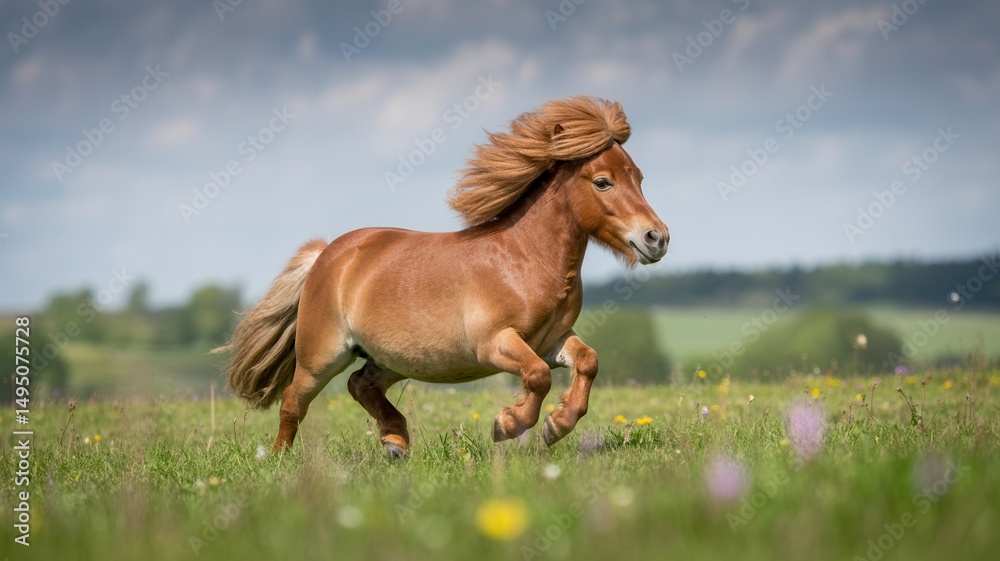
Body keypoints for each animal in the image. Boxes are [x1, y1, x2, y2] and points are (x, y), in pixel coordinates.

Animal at [214, 96, 669, 457]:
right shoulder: (496, 343)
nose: (657, 238)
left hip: (394, 358)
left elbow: (588, 362)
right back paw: (279, 459)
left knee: (361, 385)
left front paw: (557, 425)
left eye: (639, 177)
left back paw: (395, 443)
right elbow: (538, 375)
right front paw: (508, 424)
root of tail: (328, 253)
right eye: (603, 182)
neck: (523, 260)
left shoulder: (552, 339)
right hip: (322, 356)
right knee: (295, 400)